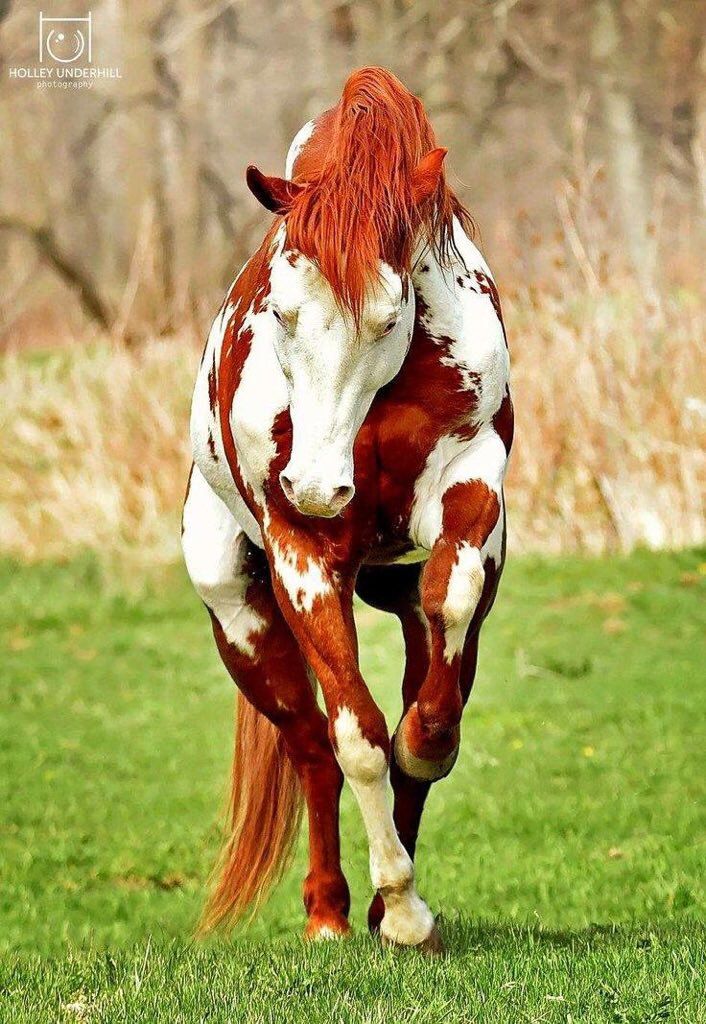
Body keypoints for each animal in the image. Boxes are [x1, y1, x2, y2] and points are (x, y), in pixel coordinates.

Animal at [181, 70, 512, 950]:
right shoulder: (304, 555)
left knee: (430, 671)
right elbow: (356, 738)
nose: (316, 486)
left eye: (390, 315)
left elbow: (439, 649)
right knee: (311, 748)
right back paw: (330, 912)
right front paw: (402, 908)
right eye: (280, 311)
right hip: (242, 620)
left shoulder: (474, 487)